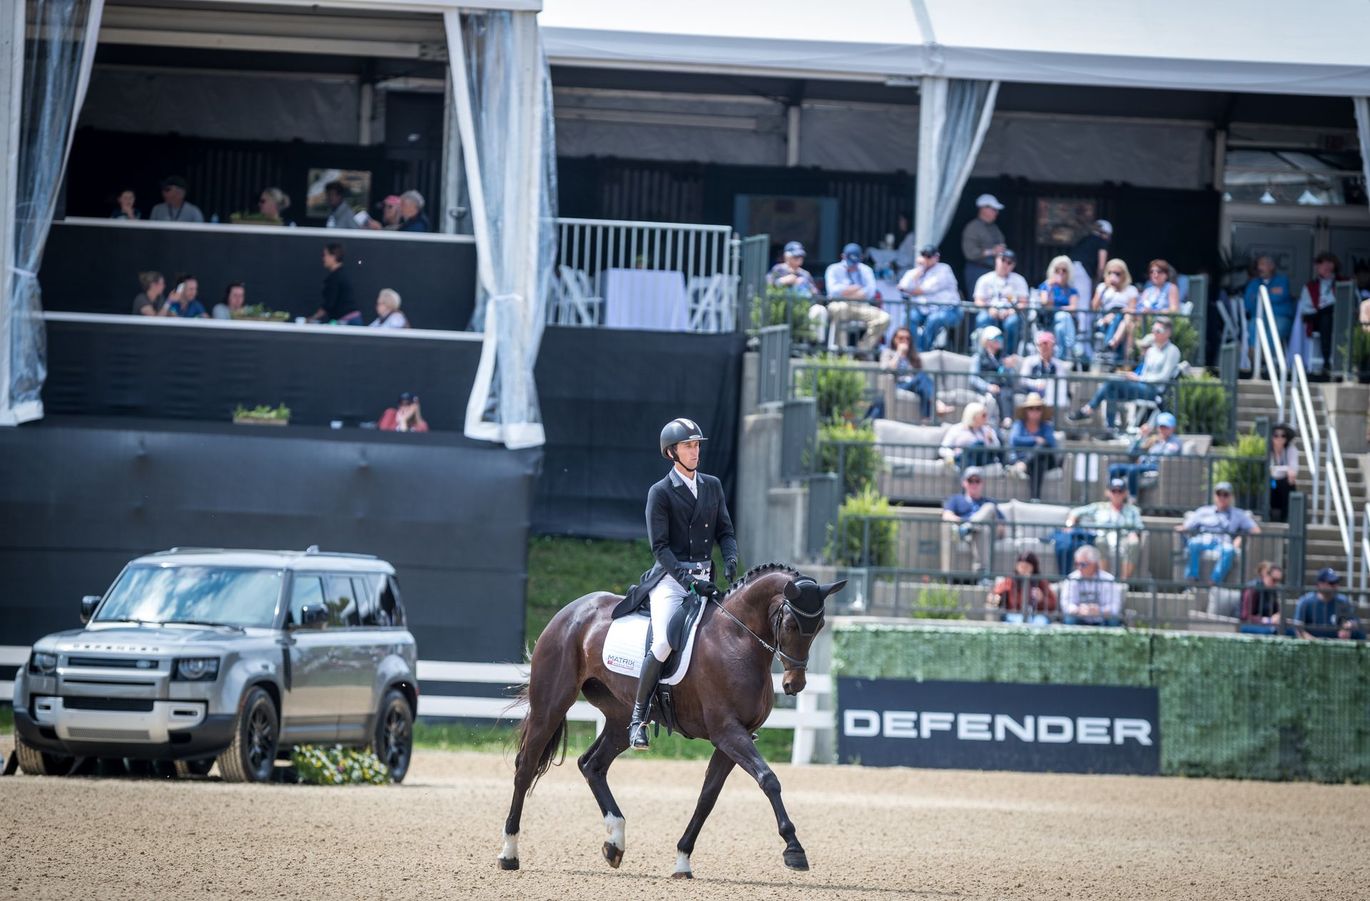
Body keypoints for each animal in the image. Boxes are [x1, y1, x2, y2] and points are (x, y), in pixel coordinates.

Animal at [501, 561, 838, 876]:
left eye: (820, 624)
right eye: (791, 624)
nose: (794, 685)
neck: (737, 637)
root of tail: (571, 611)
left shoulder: (734, 737)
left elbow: (707, 797)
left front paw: (682, 859)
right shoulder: (728, 732)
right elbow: (768, 779)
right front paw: (794, 849)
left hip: (620, 720)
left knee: (591, 764)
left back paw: (615, 843)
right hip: (551, 705)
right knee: (526, 767)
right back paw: (509, 852)